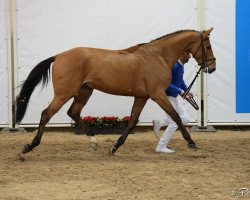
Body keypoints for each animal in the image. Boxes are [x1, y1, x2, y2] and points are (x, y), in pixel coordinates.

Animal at [15, 27, 216, 155]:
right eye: (207, 46)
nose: (212, 67)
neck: (157, 57)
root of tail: (59, 56)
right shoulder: (158, 95)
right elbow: (175, 116)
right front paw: (191, 142)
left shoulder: (141, 97)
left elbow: (133, 121)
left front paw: (114, 147)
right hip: (65, 93)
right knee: (46, 114)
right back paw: (29, 146)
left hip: (85, 91)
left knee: (73, 112)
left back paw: (94, 141)